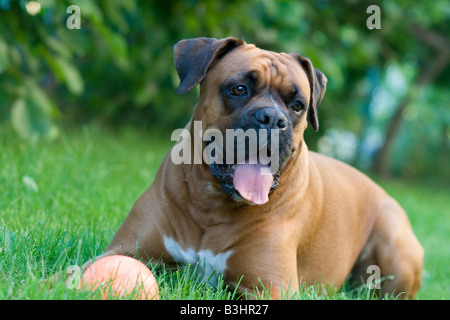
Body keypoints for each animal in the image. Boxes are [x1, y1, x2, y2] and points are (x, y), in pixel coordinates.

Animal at [96, 37, 424, 300]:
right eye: (239, 89)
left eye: (297, 105)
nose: (272, 118)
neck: (213, 205)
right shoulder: (124, 250)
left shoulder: (271, 287)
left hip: (393, 242)